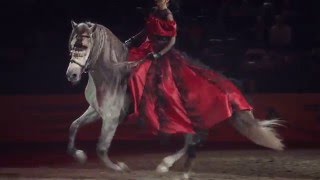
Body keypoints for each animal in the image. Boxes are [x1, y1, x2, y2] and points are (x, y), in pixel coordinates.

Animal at [65, 21, 282, 177]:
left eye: (85, 46)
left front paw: (121, 168)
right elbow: (74, 126)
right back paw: (168, 166)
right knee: (192, 140)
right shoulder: (96, 111)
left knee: (193, 140)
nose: (71, 75)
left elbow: (101, 148)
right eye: (72, 45)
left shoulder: (111, 118)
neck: (111, 71)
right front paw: (79, 155)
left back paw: (168, 166)